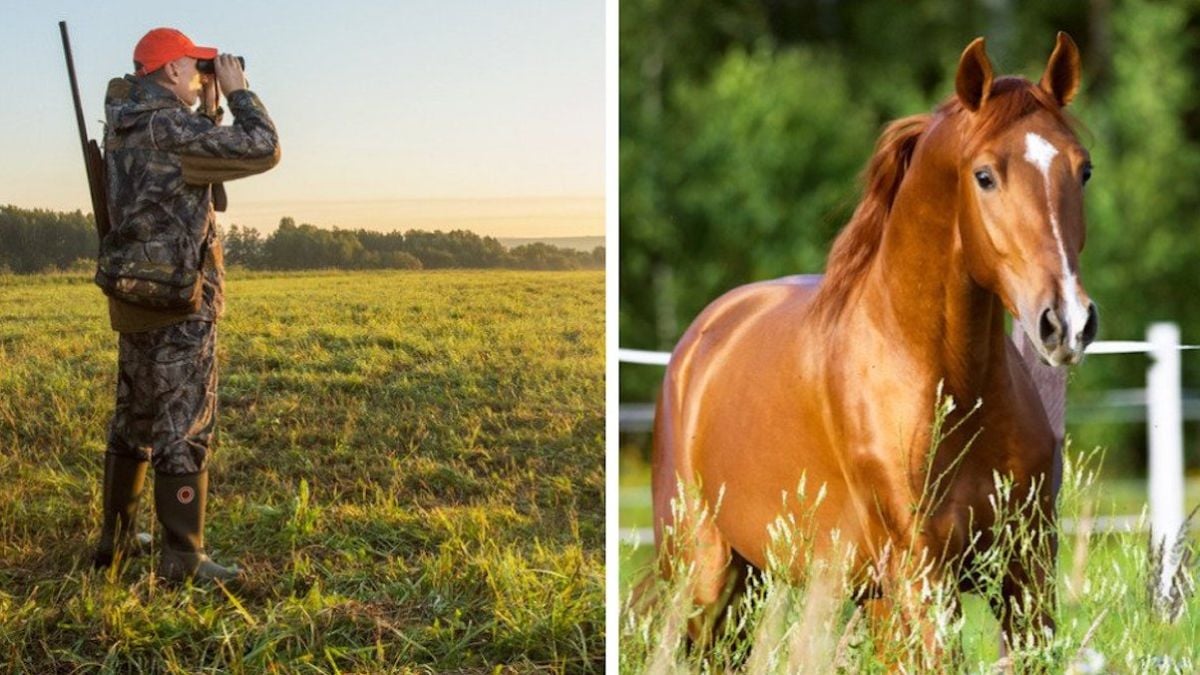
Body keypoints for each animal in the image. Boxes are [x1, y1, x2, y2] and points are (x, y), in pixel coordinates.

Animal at [657, 32, 1099, 648]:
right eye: (985, 175)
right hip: (706, 579)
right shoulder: (923, 578)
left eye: (1083, 171)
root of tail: (702, 338)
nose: (1067, 322)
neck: (949, 385)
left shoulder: (1025, 574)